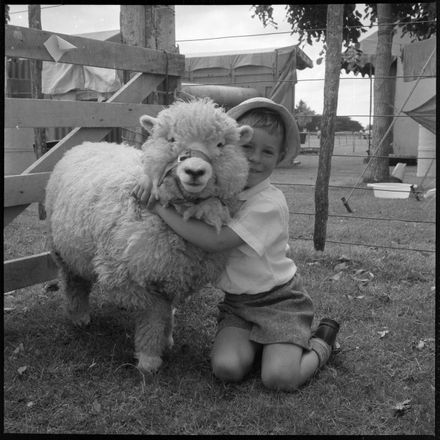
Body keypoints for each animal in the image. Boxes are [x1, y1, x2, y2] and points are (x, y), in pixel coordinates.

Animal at [46, 98, 253, 372]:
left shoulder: (175, 273)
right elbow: (154, 315)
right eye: (172, 139)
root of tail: (87, 143)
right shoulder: (130, 276)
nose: (195, 171)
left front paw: (167, 339)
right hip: (63, 249)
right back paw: (79, 316)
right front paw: (149, 359)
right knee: (74, 282)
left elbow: (167, 311)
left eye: (220, 144)